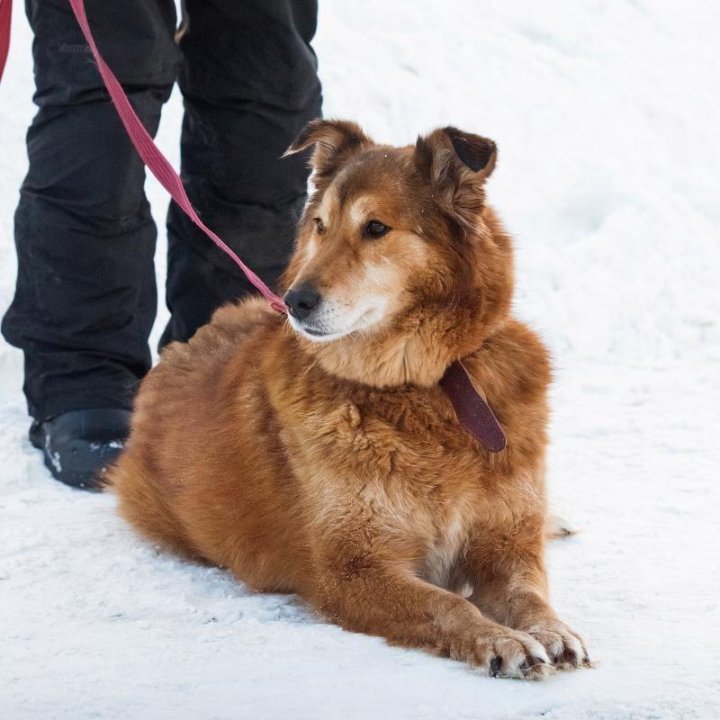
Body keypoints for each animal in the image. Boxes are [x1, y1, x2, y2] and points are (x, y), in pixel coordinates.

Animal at [108, 119, 592, 680]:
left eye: (376, 228)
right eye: (320, 225)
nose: (294, 301)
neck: (425, 387)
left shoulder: (505, 544)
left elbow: (528, 593)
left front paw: (552, 630)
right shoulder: (352, 569)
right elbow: (450, 603)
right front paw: (500, 640)